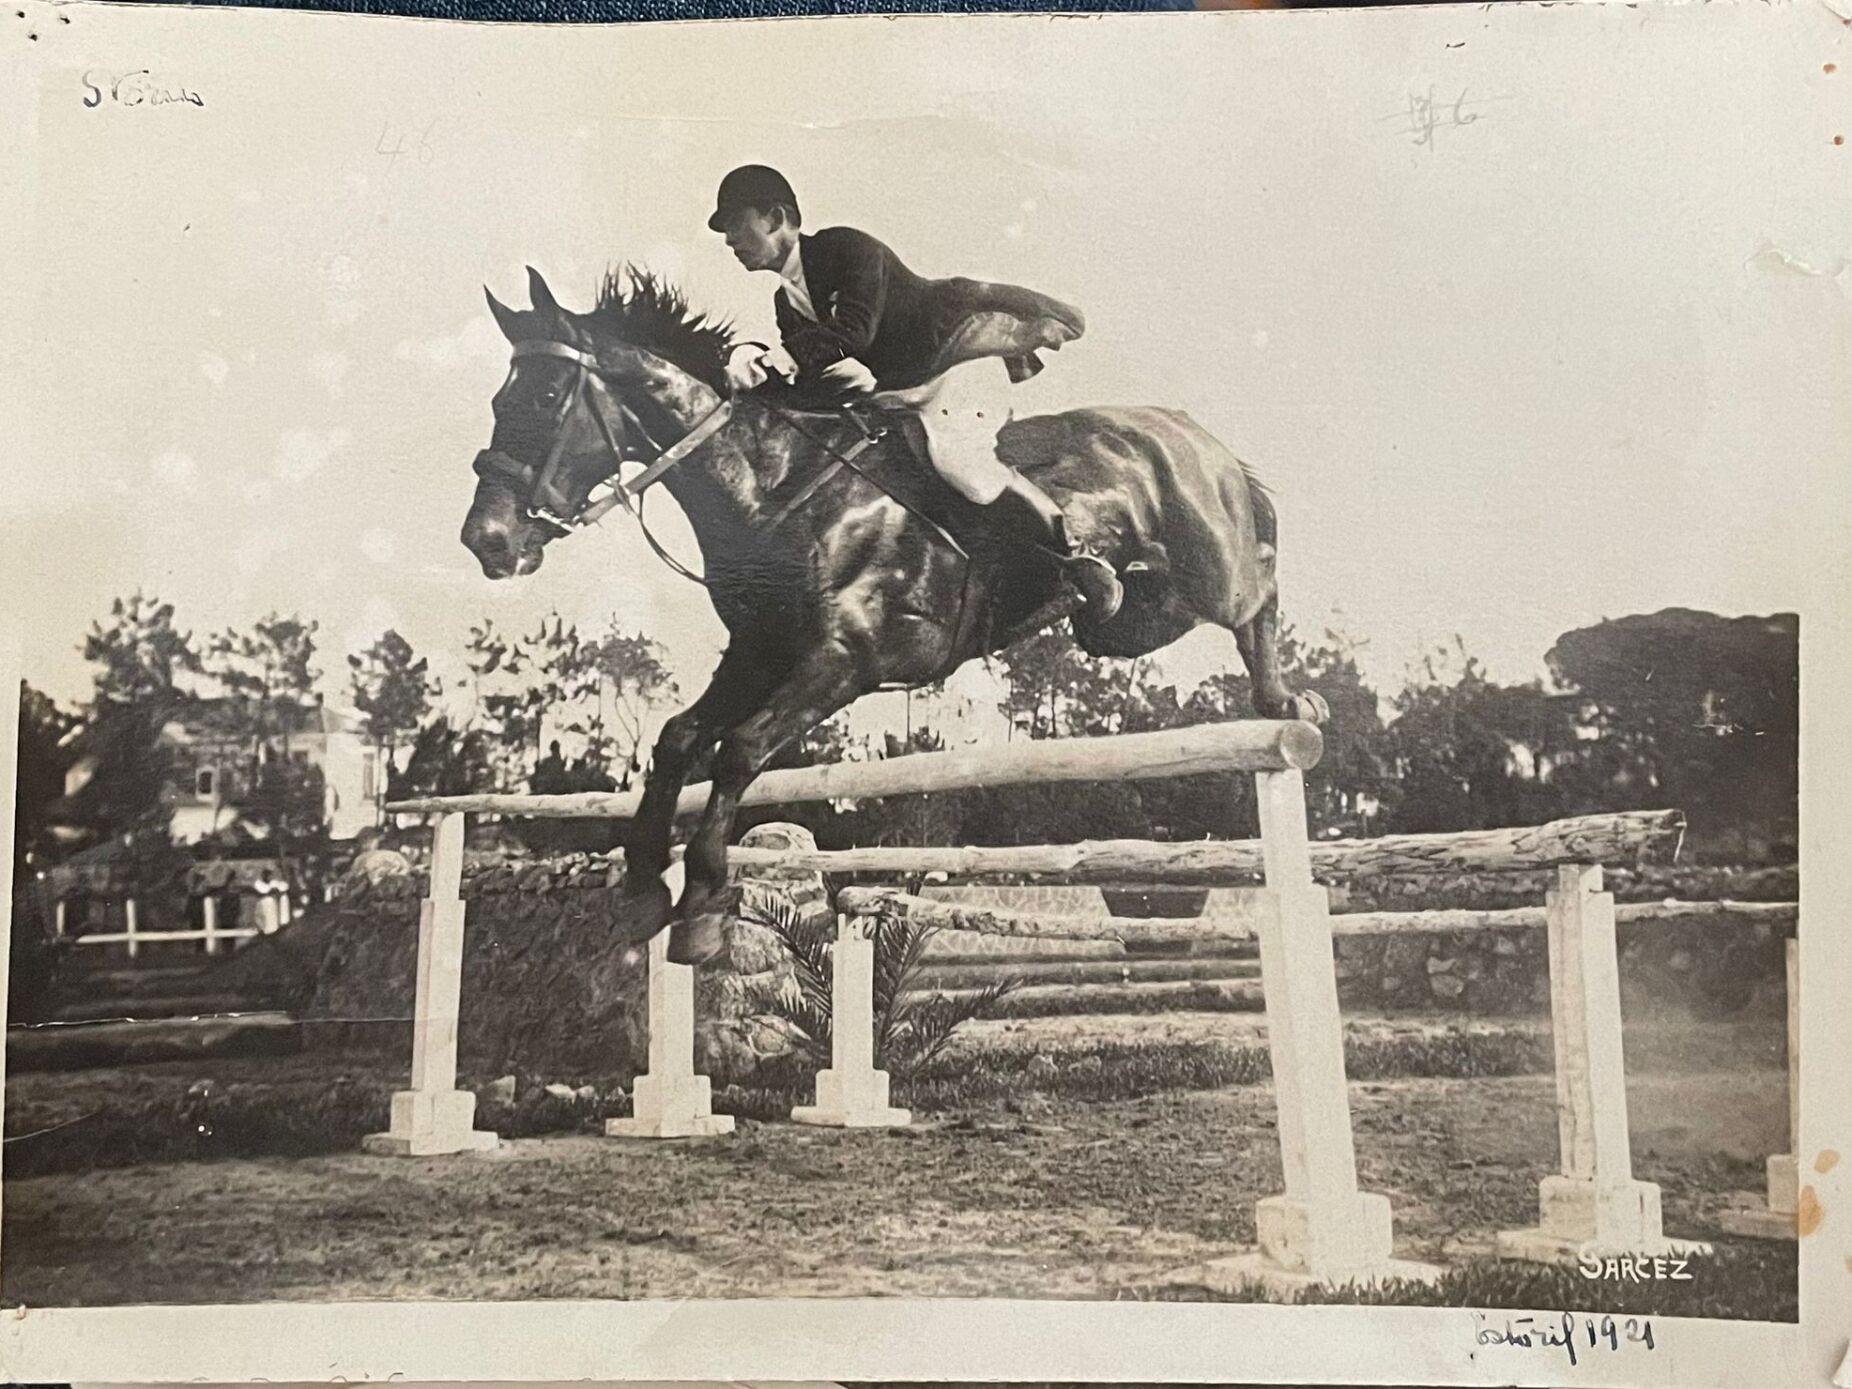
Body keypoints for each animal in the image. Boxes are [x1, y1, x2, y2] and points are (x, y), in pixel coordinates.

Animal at [463, 268, 1333, 970]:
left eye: (545, 398)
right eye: (499, 399)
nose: (487, 542)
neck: (777, 489)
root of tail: (1189, 430)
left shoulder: (845, 658)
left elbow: (739, 750)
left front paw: (703, 905)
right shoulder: (757, 651)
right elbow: (680, 738)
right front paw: (647, 885)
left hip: (1209, 568)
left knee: (1259, 588)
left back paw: (1291, 702)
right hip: (1125, 625)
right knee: (1159, 604)